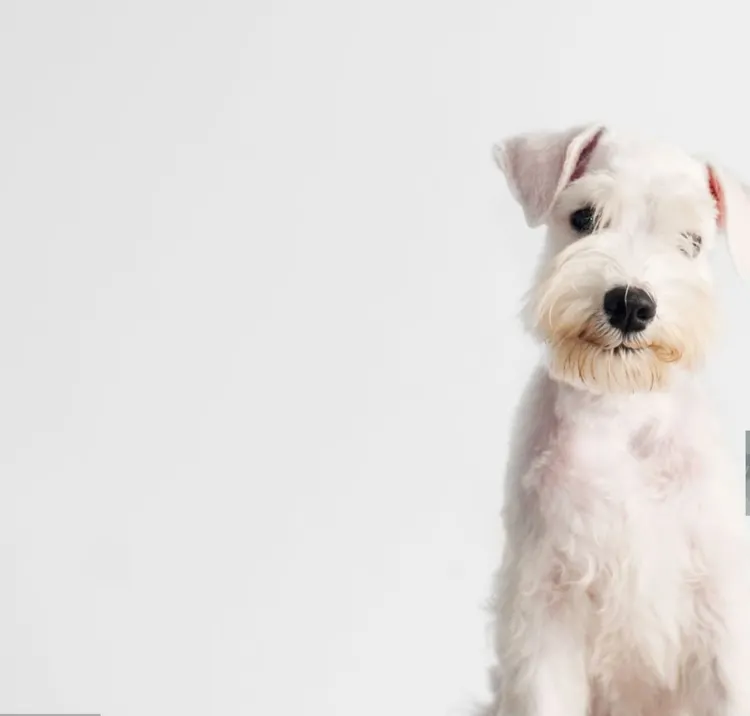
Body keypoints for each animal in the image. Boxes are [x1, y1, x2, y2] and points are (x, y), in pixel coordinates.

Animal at [490, 126, 750, 716]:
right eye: (584, 217)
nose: (631, 305)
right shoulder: (546, 608)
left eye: (691, 241)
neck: (621, 411)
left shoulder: (720, 613)